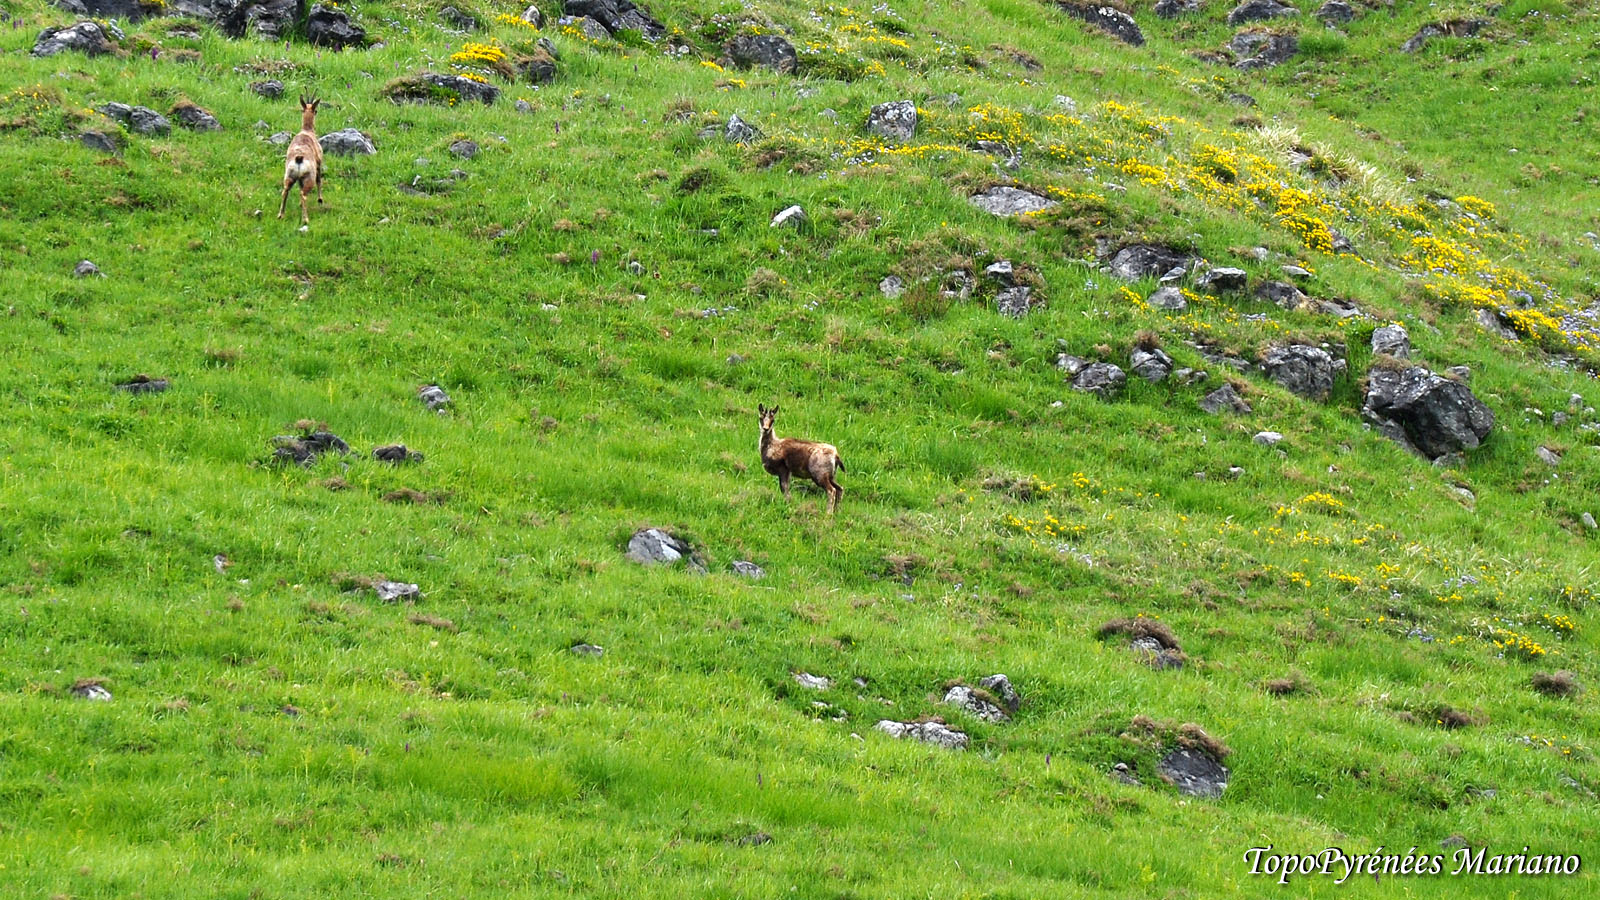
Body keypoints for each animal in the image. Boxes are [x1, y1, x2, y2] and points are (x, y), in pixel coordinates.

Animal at [278, 96, 324, 226]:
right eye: (316, 110)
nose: (316, 111)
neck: (307, 131)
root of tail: (299, 158)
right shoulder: (319, 163)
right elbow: (319, 180)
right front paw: (320, 199)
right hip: (309, 177)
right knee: (303, 194)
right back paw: (305, 219)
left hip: (289, 175)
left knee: (285, 191)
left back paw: (280, 215)